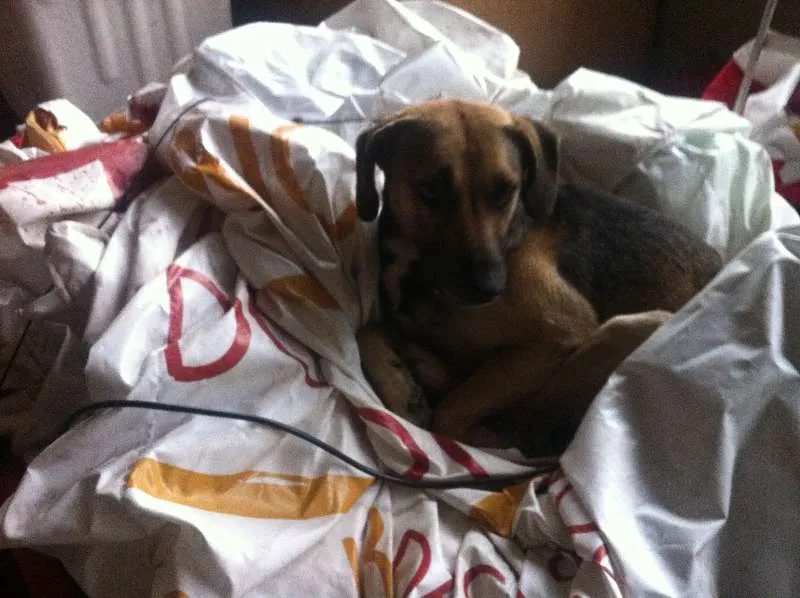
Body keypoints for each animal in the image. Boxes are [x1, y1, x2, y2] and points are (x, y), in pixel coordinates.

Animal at [355, 99, 722, 456]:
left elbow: (449, 415)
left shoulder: (558, 335)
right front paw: (400, 383)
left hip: (633, 326)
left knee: (527, 427)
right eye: (430, 191)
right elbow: (366, 331)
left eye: (505, 191)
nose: (490, 288)